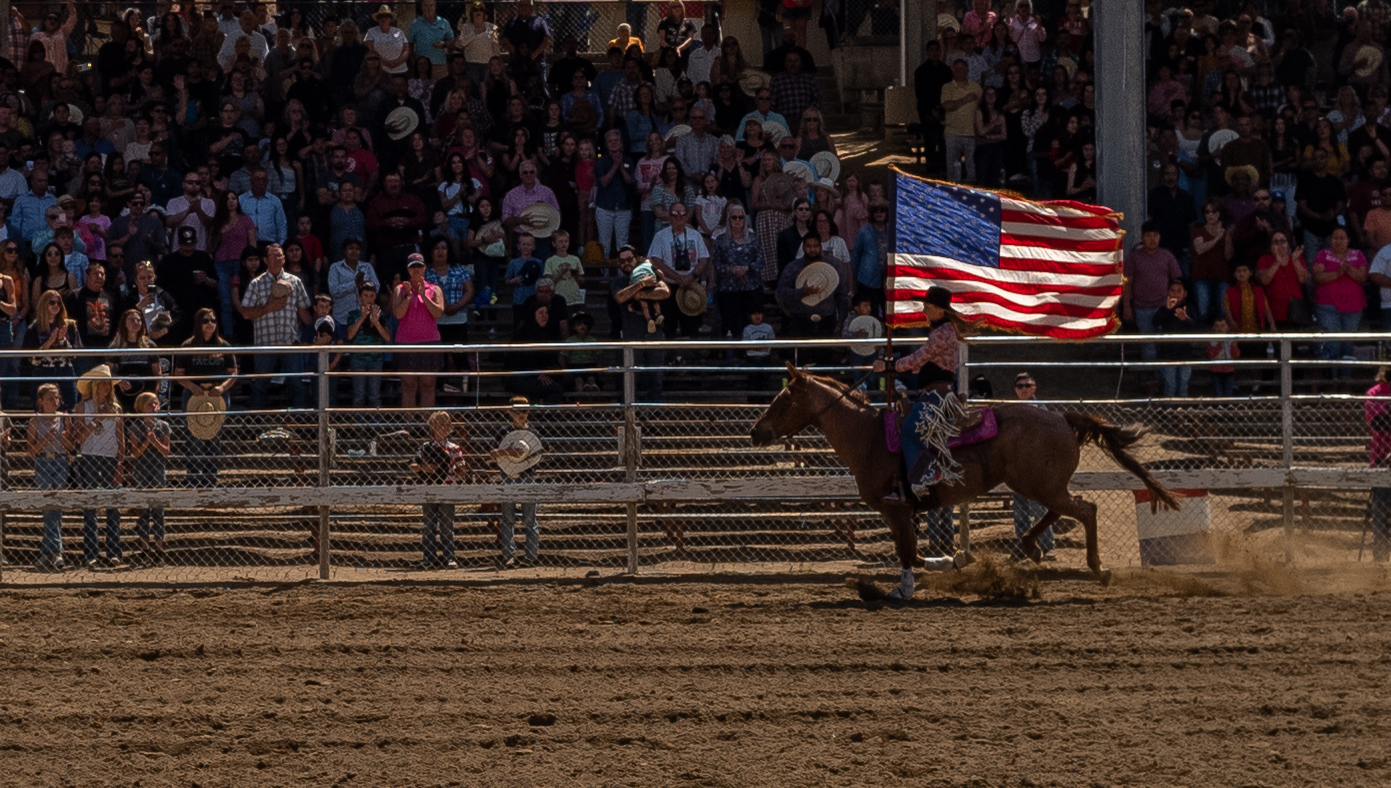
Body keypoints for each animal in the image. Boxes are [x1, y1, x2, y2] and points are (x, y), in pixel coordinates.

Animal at [751, 367, 1174, 601]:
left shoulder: (895, 507)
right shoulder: (900, 511)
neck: (868, 437)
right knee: (1067, 509)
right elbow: (912, 552)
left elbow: (906, 553)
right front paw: (950, 560)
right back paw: (1031, 547)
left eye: (784, 400)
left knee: (1086, 509)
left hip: (1041, 485)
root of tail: (1061, 417)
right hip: (1038, 485)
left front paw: (903, 589)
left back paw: (1097, 569)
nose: (756, 432)